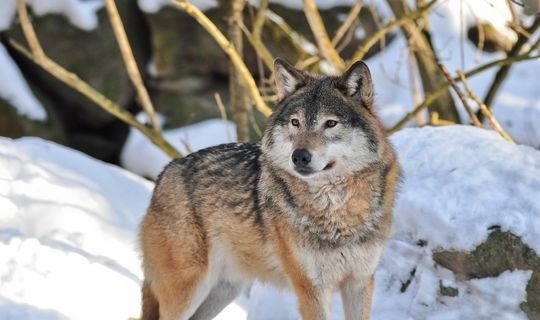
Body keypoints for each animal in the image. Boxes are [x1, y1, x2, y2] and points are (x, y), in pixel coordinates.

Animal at [139, 58, 400, 318]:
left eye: (330, 124)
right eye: (295, 122)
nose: (300, 156)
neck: (336, 212)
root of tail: (165, 172)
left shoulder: (360, 284)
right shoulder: (311, 290)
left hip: (223, 290)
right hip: (188, 291)